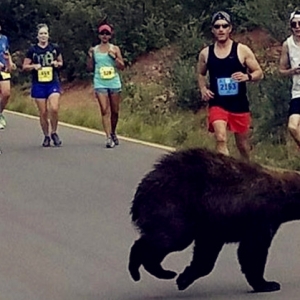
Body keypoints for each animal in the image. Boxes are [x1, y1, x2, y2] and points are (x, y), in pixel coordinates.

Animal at [127, 148, 300, 292]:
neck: (284, 195)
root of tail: (141, 191)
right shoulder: (261, 215)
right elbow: (252, 249)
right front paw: (267, 284)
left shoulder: (214, 224)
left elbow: (206, 252)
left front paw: (185, 278)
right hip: (173, 205)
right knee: (168, 238)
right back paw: (147, 270)